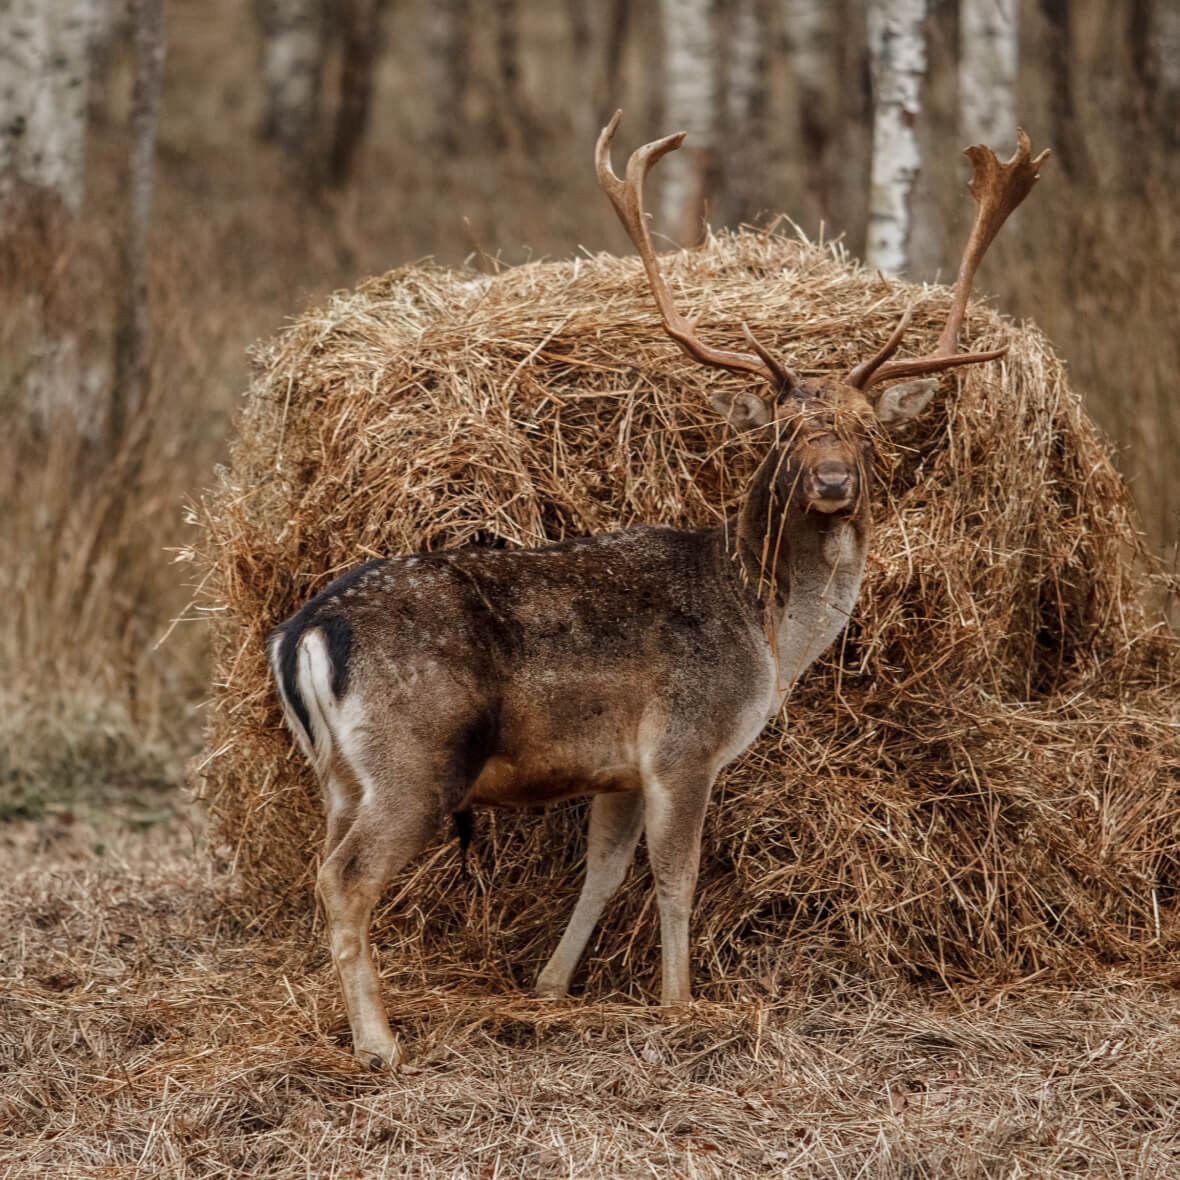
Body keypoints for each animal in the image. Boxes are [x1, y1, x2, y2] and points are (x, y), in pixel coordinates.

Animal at [267, 112, 1052, 1071]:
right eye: (784, 431)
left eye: (868, 431)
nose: (833, 483)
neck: (765, 635)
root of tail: (303, 632)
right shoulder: (685, 741)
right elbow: (677, 876)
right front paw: (681, 1001)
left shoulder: (616, 766)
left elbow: (605, 871)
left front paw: (552, 986)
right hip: (415, 758)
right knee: (344, 879)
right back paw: (379, 1043)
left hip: (340, 771)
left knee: (324, 864)